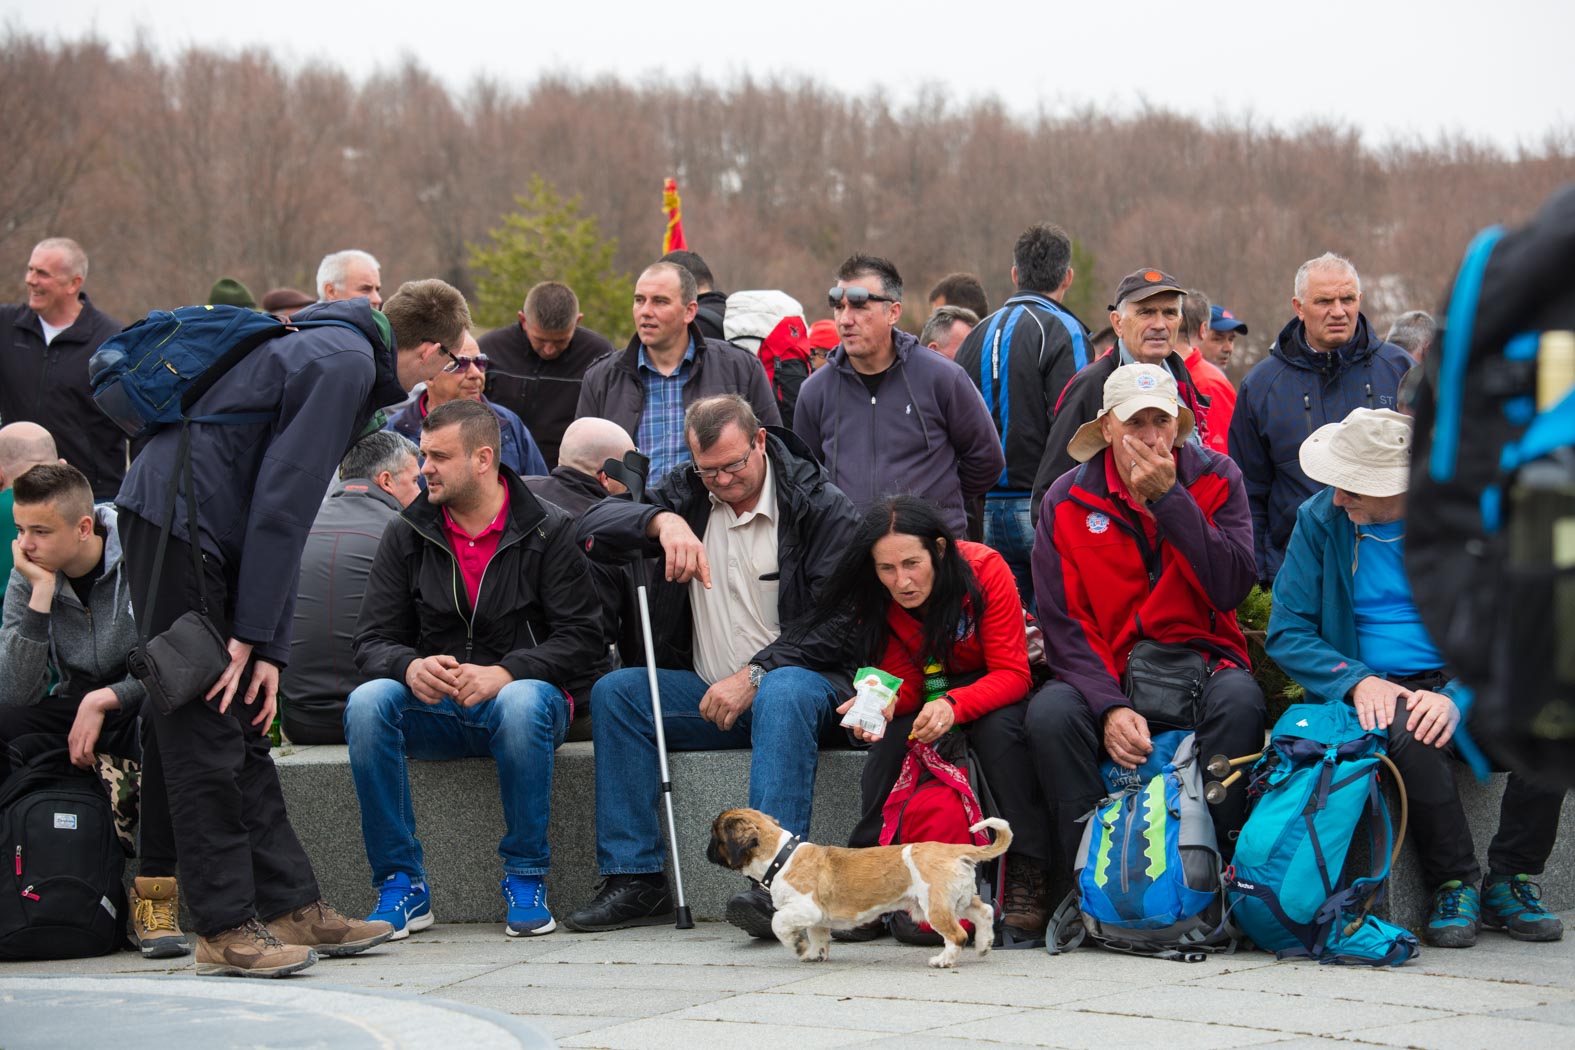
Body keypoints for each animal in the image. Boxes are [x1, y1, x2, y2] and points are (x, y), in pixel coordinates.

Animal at [705, 812, 1008, 976]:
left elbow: (778, 923)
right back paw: (984, 944)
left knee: (957, 935)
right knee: (985, 912)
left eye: (715, 836)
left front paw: (798, 946)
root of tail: (954, 850)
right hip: (960, 900)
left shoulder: (805, 909)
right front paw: (815, 953)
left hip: (935, 906)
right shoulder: (818, 919)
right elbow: (819, 937)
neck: (782, 857)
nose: (705, 851)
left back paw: (944, 960)